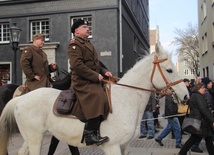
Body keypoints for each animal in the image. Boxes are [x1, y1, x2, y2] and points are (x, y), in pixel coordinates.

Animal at [0, 45, 188, 155]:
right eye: (169, 70)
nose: (186, 95)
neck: (126, 100)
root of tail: (21, 98)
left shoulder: (124, 146)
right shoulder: (113, 146)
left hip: (31, 137)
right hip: (35, 137)